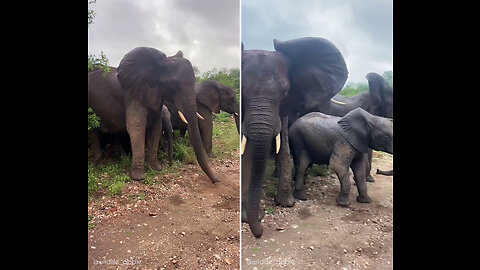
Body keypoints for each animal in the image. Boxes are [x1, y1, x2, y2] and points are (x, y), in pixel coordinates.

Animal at [88, 48, 218, 184]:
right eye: (173, 86)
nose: (216, 181)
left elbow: (156, 128)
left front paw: (156, 168)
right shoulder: (132, 96)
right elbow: (136, 127)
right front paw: (138, 176)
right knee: (93, 132)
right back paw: (99, 160)